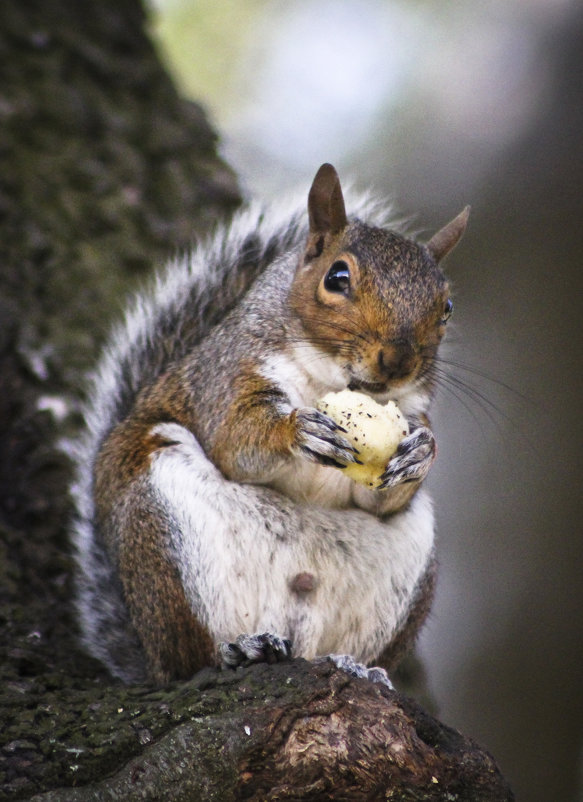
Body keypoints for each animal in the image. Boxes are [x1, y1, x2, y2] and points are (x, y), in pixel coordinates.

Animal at [68, 162, 470, 680]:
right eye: (337, 277)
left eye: (447, 307)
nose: (398, 361)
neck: (331, 382)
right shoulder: (226, 378)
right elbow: (236, 439)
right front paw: (297, 430)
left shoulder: (411, 414)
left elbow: (380, 496)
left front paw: (420, 454)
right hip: (165, 535)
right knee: (191, 660)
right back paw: (239, 650)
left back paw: (356, 667)